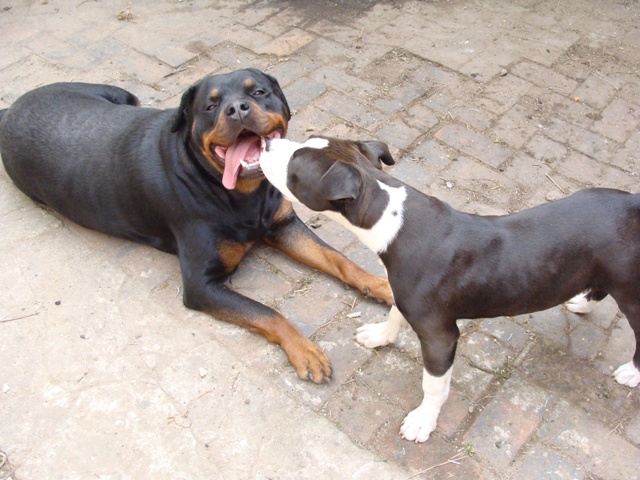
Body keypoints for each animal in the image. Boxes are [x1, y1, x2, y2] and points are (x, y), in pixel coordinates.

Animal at [0, 71, 392, 384]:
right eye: (210, 105)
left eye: (258, 92)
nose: (237, 109)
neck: (240, 195)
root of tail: (10, 110)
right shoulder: (202, 284)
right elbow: (268, 313)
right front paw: (305, 350)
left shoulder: (282, 225)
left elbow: (338, 258)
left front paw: (380, 284)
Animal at [260, 136, 640, 442]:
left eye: (295, 166)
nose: (265, 142)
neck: (391, 217)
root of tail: (633, 204)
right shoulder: (403, 293)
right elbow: (395, 314)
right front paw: (380, 335)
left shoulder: (439, 335)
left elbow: (434, 385)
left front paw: (423, 421)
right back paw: (582, 301)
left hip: (631, 292)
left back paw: (631, 371)